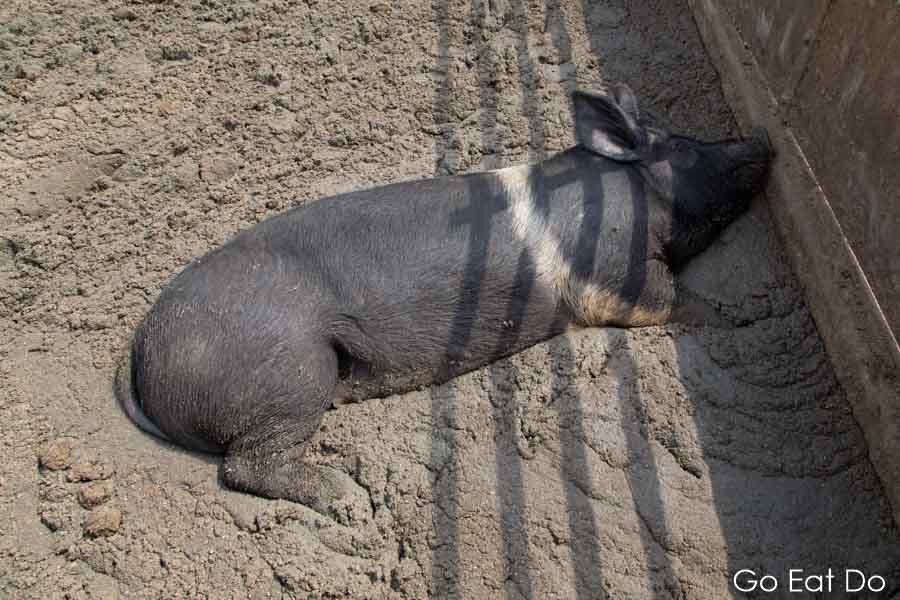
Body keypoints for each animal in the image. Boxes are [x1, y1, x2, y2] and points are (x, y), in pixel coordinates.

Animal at [116, 84, 768, 516]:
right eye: (684, 147)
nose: (760, 140)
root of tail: (142, 352)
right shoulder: (617, 278)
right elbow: (676, 301)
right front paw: (747, 318)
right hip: (290, 373)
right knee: (245, 464)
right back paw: (348, 499)